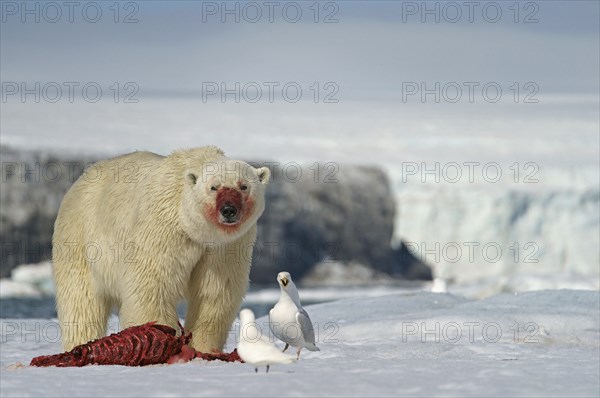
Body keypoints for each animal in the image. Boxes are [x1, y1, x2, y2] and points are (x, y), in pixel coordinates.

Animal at [54, 147, 270, 352]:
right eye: (213, 187)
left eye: (244, 186)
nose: (229, 210)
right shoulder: (162, 228)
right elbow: (152, 285)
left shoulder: (226, 247)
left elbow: (214, 293)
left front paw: (205, 348)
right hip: (81, 239)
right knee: (81, 301)